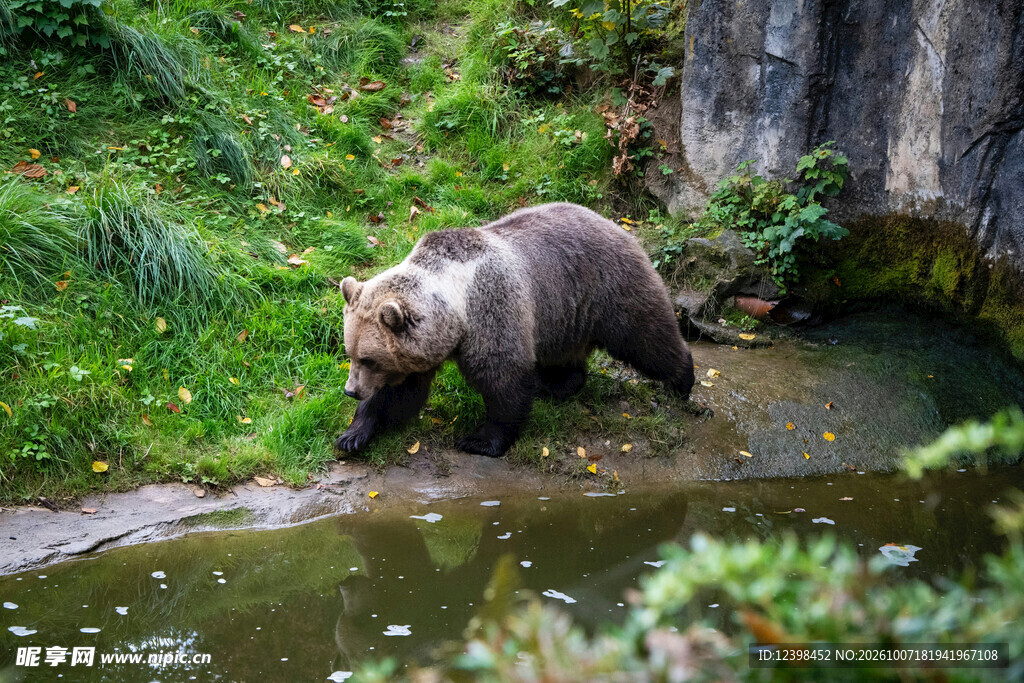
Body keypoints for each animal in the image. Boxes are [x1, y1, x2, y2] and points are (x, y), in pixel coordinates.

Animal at [335, 202, 694, 458]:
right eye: (350, 353)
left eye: (369, 359)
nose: (351, 391)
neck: (456, 306)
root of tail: (616, 223)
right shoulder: (424, 347)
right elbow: (400, 393)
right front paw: (353, 435)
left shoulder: (492, 307)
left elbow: (502, 378)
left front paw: (480, 440)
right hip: (564, 316)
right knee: (565, 357)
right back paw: (555, 385)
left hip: (608, 287)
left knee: (645, 336)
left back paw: (682, 380)